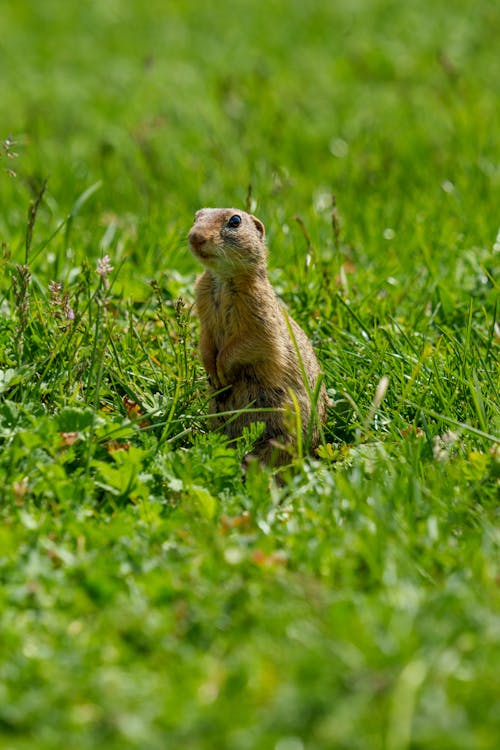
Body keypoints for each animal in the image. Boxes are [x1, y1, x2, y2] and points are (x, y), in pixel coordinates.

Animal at [188, 206, 328, 464]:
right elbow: (206, 341)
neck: (222, 279)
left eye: (235, 221)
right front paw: (212, 372)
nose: (195, 237)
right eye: (196, 216)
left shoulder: (259, 313)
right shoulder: (205, 314)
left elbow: (249, 343)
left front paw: (221, 371)